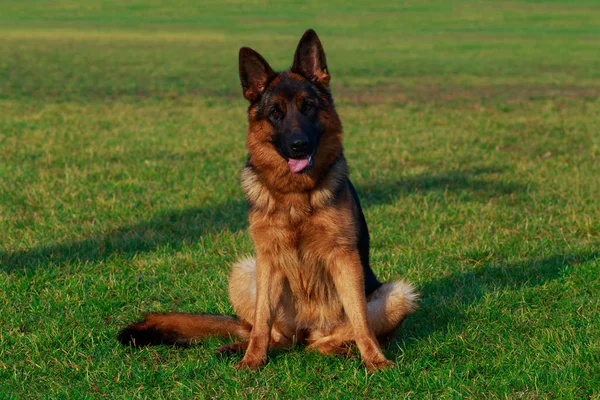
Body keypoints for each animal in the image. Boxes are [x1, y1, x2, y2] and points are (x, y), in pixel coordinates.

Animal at [118, 29, 418, 370]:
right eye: (276, 113)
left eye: (308, 107)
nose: (299, 146)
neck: (295, 194)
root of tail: (304, 332)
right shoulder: (268, 259)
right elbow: (262, 321)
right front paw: (251, 361)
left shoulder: (345, 258)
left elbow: (360, 321)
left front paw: (375, 361)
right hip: (244, 270)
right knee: (270, 335)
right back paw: (241, 347)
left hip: (398, 293)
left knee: (329, 340)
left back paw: (343, 350)